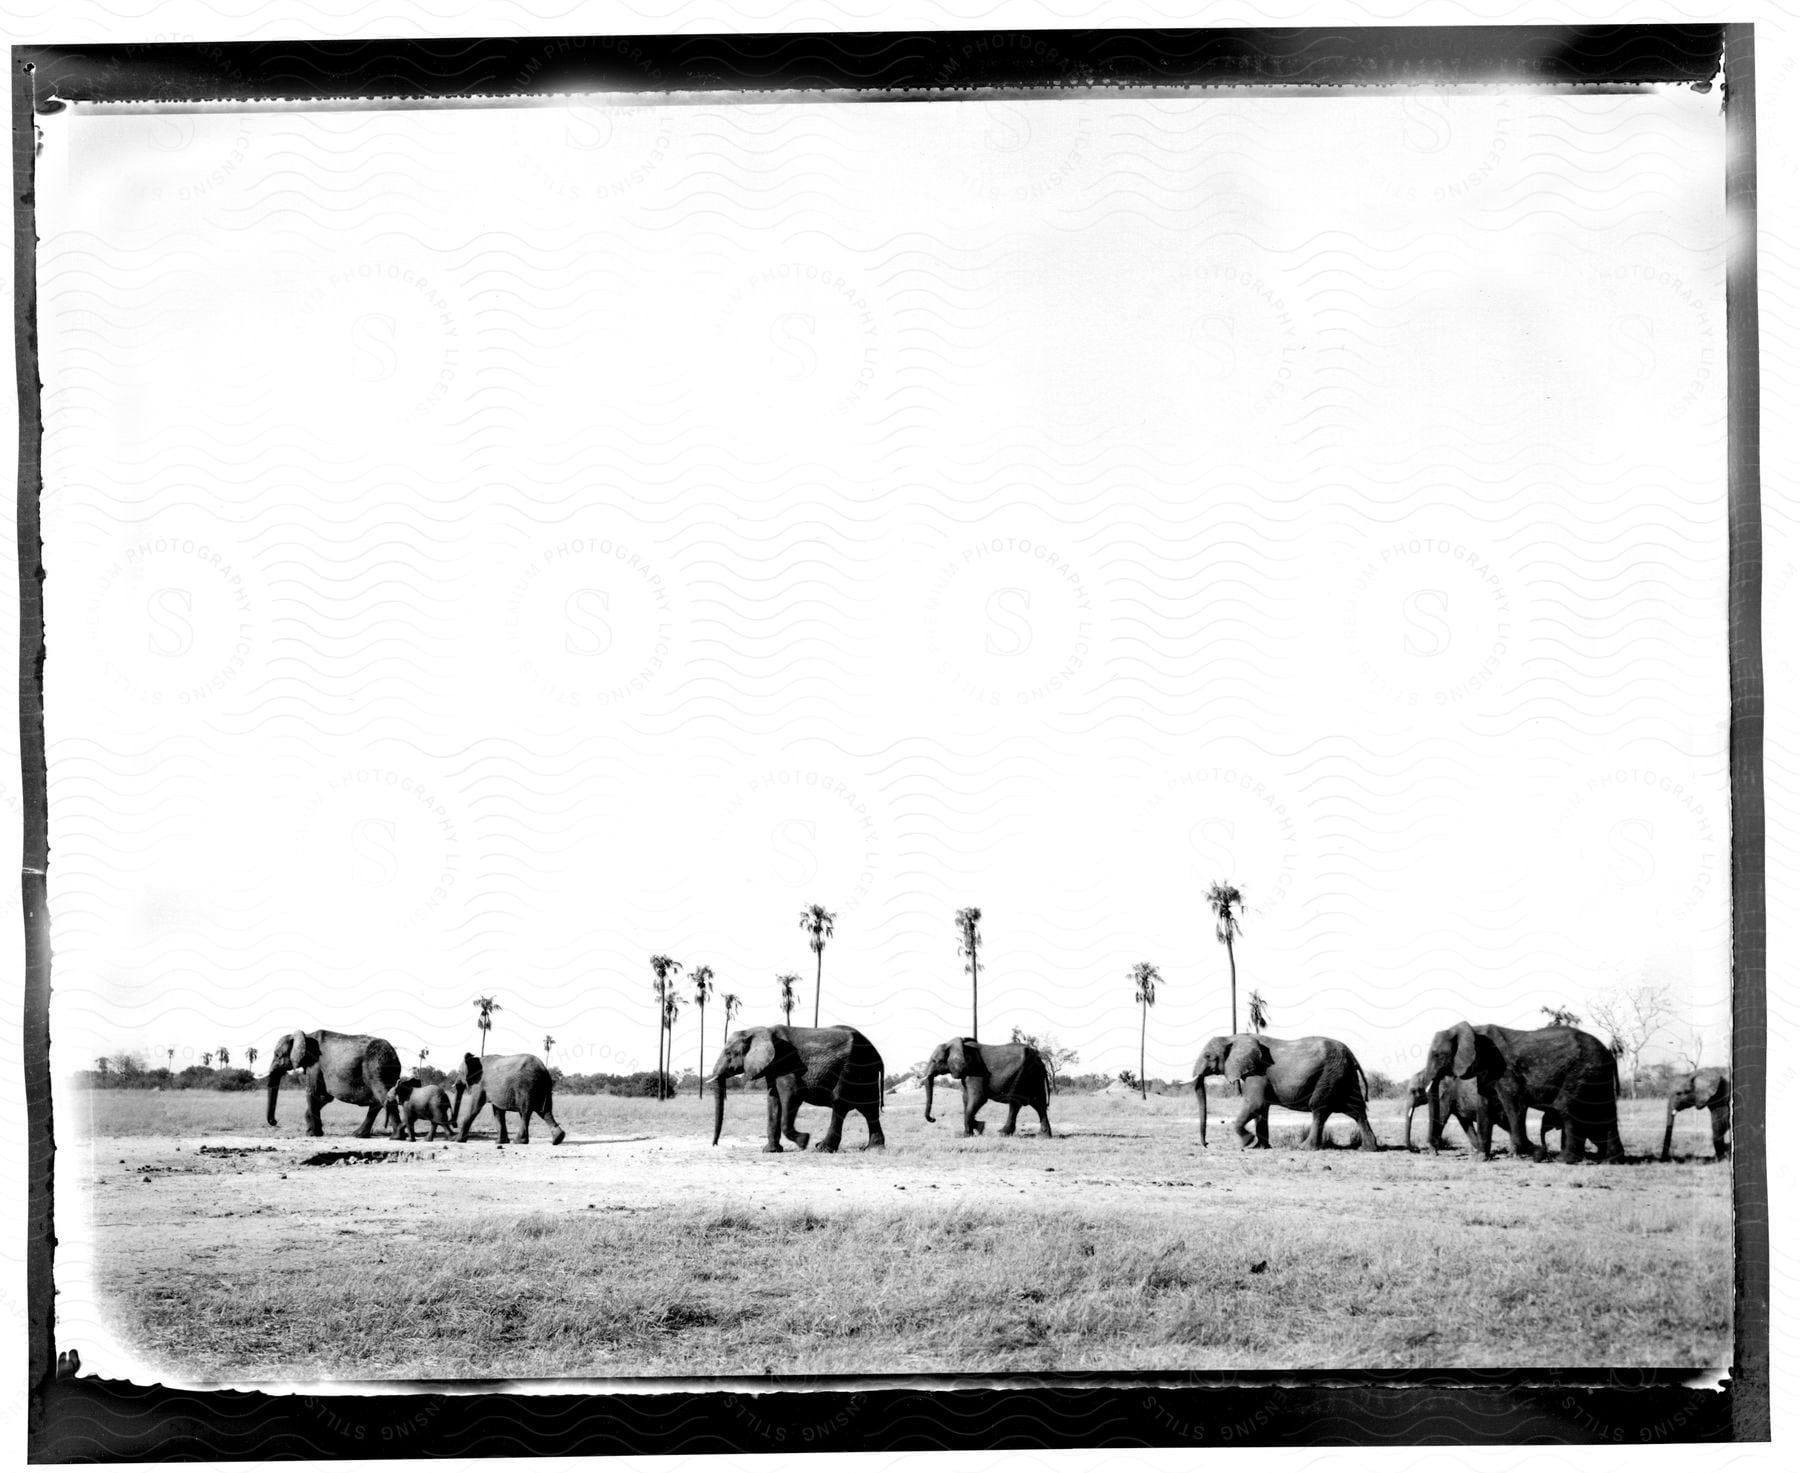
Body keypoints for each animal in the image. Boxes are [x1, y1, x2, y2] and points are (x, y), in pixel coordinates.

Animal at [262, 1022, 401, 1138]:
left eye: (277, 1055)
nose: (274, 1121)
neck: (306, 1036)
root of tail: (393, 1053)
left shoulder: (315, 1063)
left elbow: (313, 1093)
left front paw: (313, 1134)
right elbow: (324, 1097)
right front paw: (312, 1131)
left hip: (375, 1066)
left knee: (382, 1095)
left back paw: (396, 1137)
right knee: (377, 1102)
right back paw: (358, 1134)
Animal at [712, 1022, 889, 1145]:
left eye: (728, 1053)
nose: (715, 1144)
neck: (762, 1030)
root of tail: (878, 1055)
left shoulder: (787, 1062)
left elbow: (791, 1095)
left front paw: (804, 1141)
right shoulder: (772, 1067)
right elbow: (773, 1100)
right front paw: (770, 1150)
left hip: (851, 1066)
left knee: (840, 1103)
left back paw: (822, 1148)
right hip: (865, 1071)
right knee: (870, 1109)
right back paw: (873, 1148)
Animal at [921, 1030, 1051, 1138]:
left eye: (934, 1061)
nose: (933, 1119)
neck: (958, 1045)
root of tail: (1038, 1058)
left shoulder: (975, 1071)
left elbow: (978, 1099)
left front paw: (971, 1132)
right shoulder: (966, 1073)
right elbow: (966, 1099)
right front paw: (976, 1129)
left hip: (1023, 1073)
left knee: (1015, 1102)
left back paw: (1003, 1133)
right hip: (1034, 1076)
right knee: (1039, 1103)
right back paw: (1044, 1136)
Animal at [1195, 1030, 1375, 1145]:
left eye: (1208, 1056)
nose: (1206, 1144)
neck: (1232, 1037)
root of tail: (1351, 1054)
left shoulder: (1258, 1071)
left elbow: (1255, 1104)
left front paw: (1248, 1142)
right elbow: (1261, 1108)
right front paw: (1260, 1147)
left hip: (1331, 1074)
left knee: (1319, 1109)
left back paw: (1304, 1148)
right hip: (1345, 1076)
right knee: (1356, 1110)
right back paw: (1367, 1148)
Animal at [1425, 1022, 1627, 1159]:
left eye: (1436, 1055)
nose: (1435, 1150)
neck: (1473, 1029)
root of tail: (1610, 1053)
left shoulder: (1505, 1070)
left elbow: (1514, 1105)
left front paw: (1536, 1153)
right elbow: (1484, 1106)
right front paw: (1482, 1158)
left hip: (1582, 1070)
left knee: (1567, 1108)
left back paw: (1565, 1159)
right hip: (1598, 1075)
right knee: (1605, 1112)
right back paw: (1611, 1160)